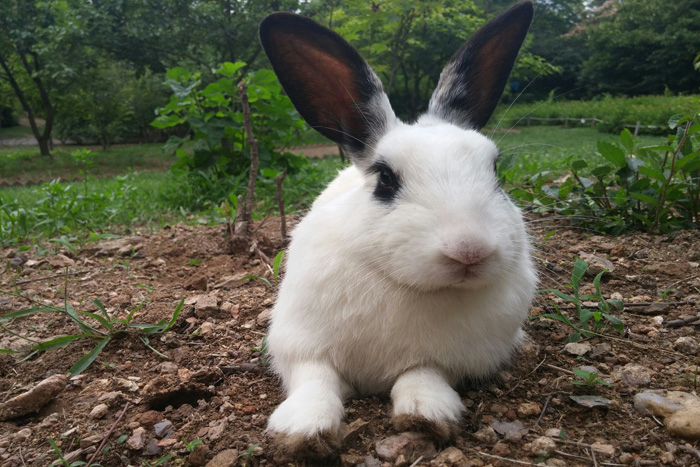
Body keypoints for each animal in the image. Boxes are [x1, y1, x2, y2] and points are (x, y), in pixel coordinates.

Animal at [258, 0, 536, 460]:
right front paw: (303, 430)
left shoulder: (446, 359)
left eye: (495, 170)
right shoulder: (300, 345)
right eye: (386, 179)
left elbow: (422, 373)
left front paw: (426, 414)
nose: (470, 250)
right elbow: (314, 379)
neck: (407, 286)